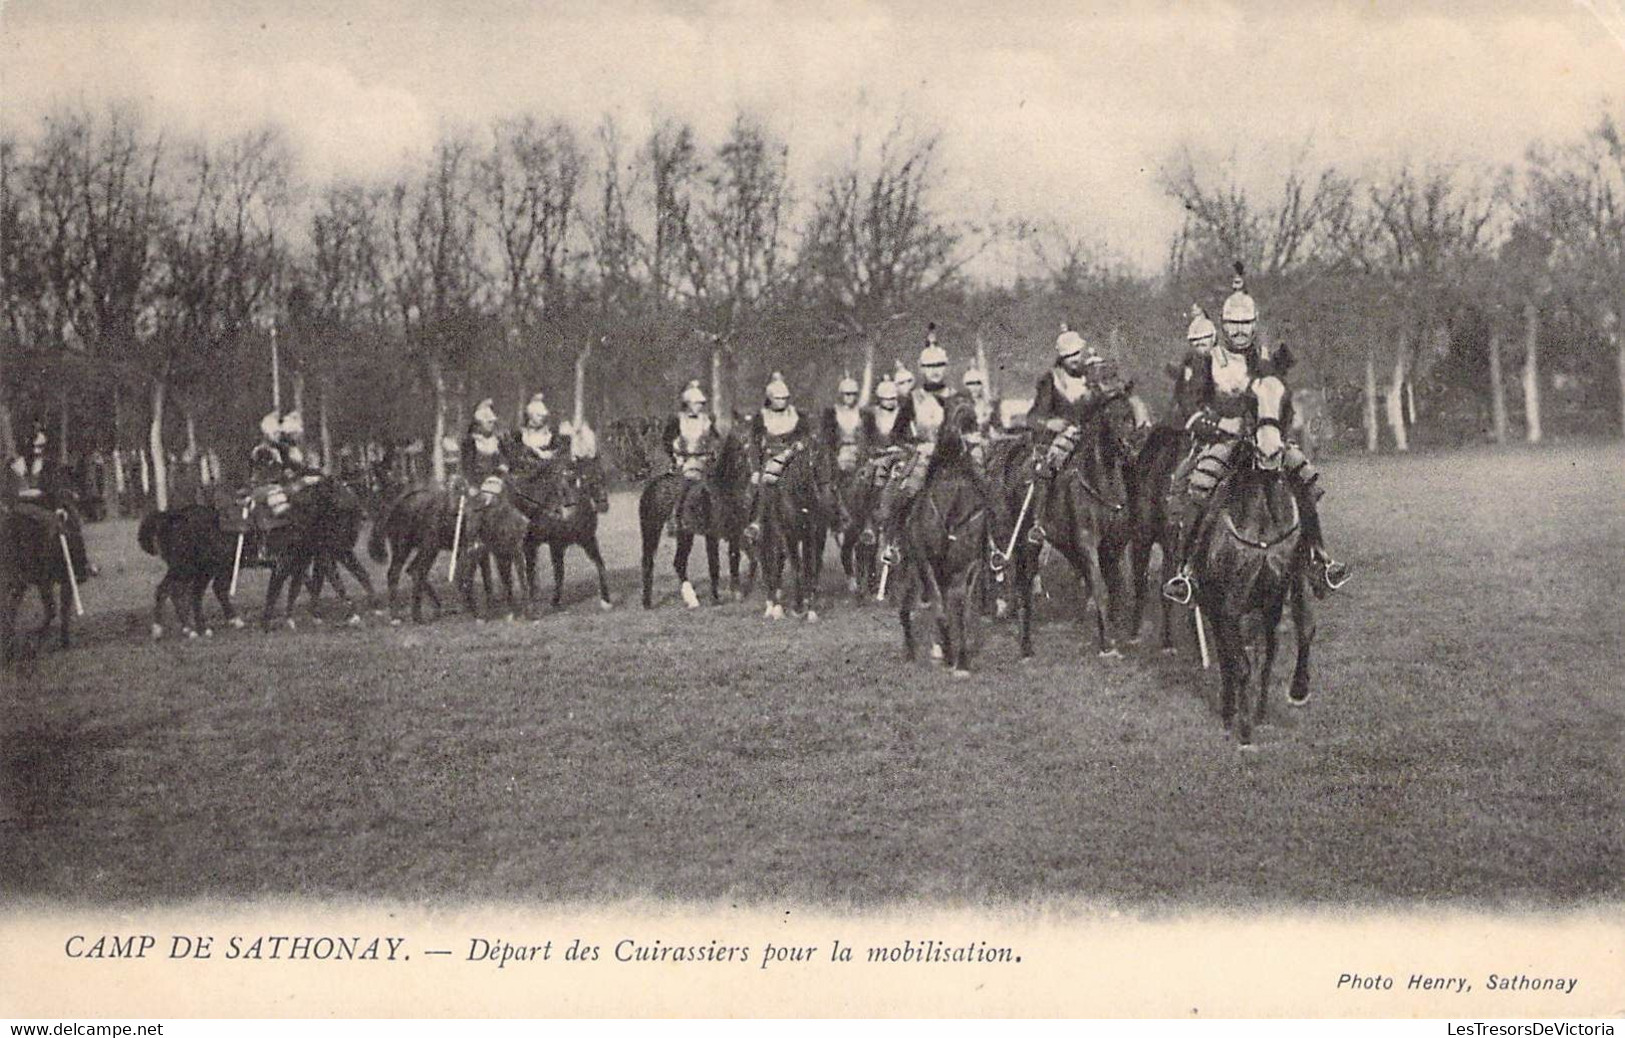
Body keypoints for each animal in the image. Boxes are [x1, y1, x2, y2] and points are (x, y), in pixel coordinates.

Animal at [640, 428, 754, 610]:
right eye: (738, 451)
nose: (749, 474)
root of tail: (654, 484)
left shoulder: (735, 534)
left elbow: (734, 560)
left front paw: (737, 594)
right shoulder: (712, 536)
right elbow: (714, 565)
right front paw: (715, 599)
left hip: (685, 534)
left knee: (679, 563)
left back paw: (692, 600)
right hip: (651, 529)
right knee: (648, 561)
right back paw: (647, 602)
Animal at [754, 441, 838, 620]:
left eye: (833, 465)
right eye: (814, 465)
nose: (829, 500)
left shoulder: (810, 535)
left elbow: (808, 566)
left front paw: (810, 607)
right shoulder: (789, 536)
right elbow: (796, 567)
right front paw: (797, 606)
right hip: (769, 533)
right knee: (768, 560)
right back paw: (772, 606)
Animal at [994, 389, 1137, 656]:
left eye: (1130, 414)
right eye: (1110, 416)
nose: (1130, 448)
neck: (1100, 483)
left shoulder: (1113, 547)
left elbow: (1116, 590)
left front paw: (1116, 633)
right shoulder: (1087, 543)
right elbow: (1101, 589)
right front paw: (1106, 644)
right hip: (1025, 542)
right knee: (1023, 585)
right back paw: (1026, 645)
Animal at [1196, 376, 1319, 750]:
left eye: (1286, 400)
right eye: (1250, 400)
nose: (1269, 454)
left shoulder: (1277, 596)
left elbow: (1280, 647)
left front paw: (1289, 696)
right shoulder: (1230, 604)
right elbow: (1241, 664)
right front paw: (1245, 729)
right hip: (1213, 603)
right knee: (1226, 657)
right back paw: (1228, 713)